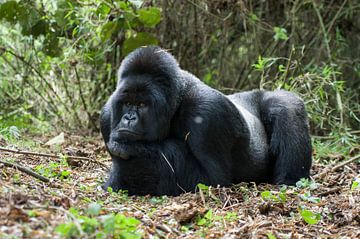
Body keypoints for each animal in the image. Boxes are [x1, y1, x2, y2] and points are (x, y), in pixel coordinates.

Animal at [99, 46, 312, 196]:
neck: (176, 103)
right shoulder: (107, 114)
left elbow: (210, 178)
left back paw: (291, 179)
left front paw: (131, 148)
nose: (128, 118)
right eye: (127, 103)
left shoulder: (207, 112)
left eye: (142, 105)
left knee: (286, 106)